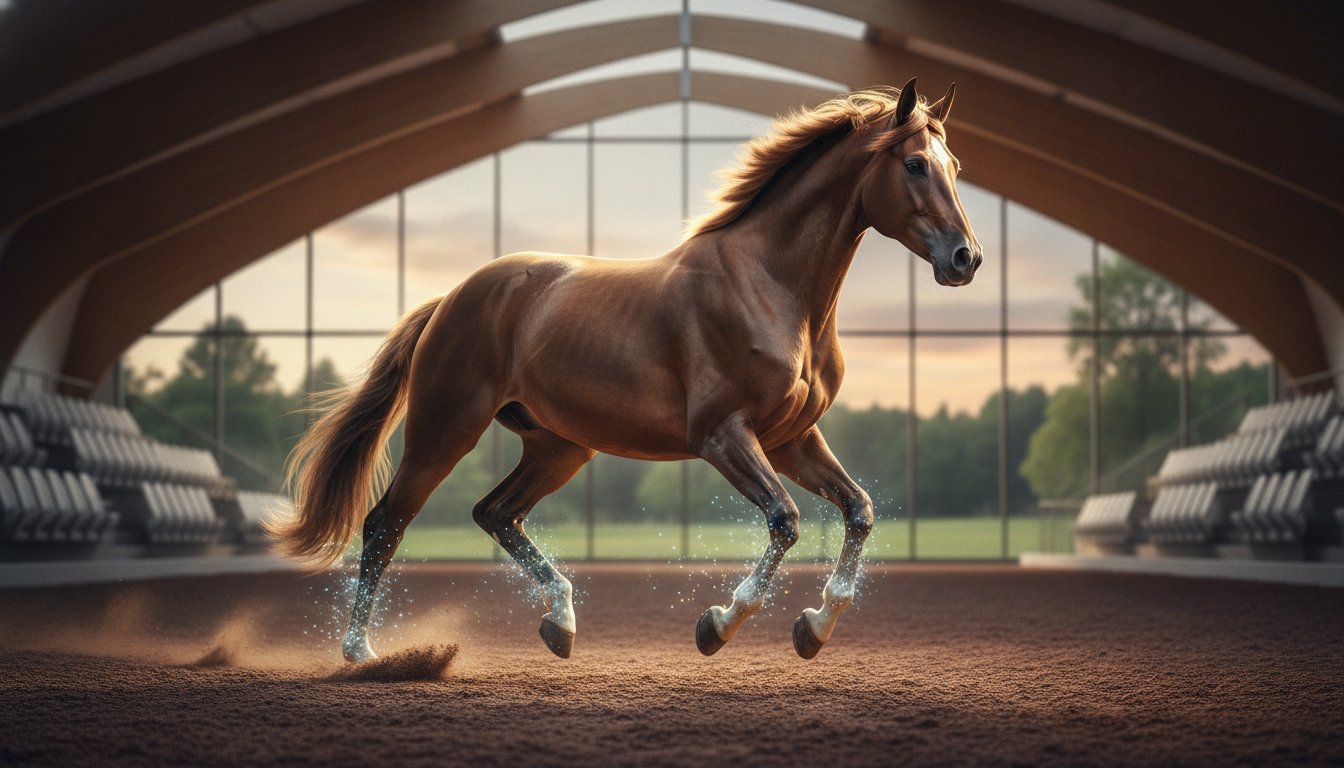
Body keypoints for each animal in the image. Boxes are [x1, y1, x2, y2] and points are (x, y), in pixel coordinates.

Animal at [269, 78, 981, 662]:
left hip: (559, 447)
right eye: (914, 164)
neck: (771, 289)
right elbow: (785, 520)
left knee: (495, 513)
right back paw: (361, 652)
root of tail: (452, 297)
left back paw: (560, 624)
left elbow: (858, 510)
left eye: (954, 165)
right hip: (445, 430)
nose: (965, 258)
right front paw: (717, 625)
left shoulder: (792, 439)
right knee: (386, 523)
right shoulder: (723, 435)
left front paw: (813, 628)